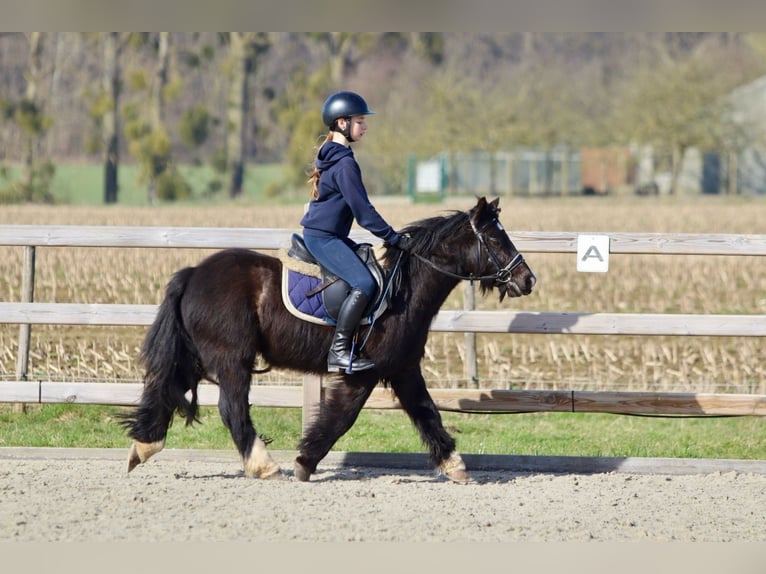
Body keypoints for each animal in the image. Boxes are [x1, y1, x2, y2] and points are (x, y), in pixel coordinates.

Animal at [123, 197, 536, 482]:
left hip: (199, 355)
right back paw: (264, 465)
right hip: (231, 359)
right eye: (495, 238)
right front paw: (304, 462)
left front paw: (454, 465)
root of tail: (193, 273)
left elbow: (427, 413)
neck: (403, 290)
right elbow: (341, 418)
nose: (528, 279)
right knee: (232, 407)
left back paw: (143, 446)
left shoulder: (403, 369)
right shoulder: (362, 374)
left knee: (167, 388)